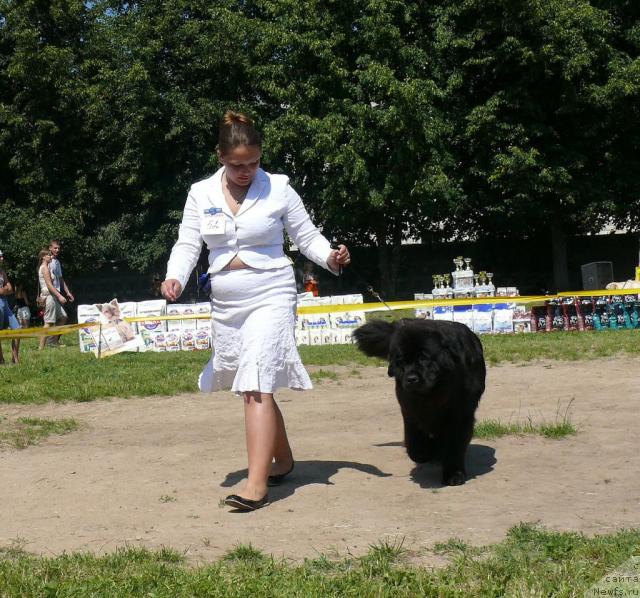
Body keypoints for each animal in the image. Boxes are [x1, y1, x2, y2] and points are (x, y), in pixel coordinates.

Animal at [356, 318, 484, 488]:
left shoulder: (460, 416)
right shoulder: (411, 413)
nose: (411, 379)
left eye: (424, 358)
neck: (432, 395)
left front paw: (454, 475)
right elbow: (415, 446)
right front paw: (427, 453)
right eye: (401, 361)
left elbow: (454, 446)